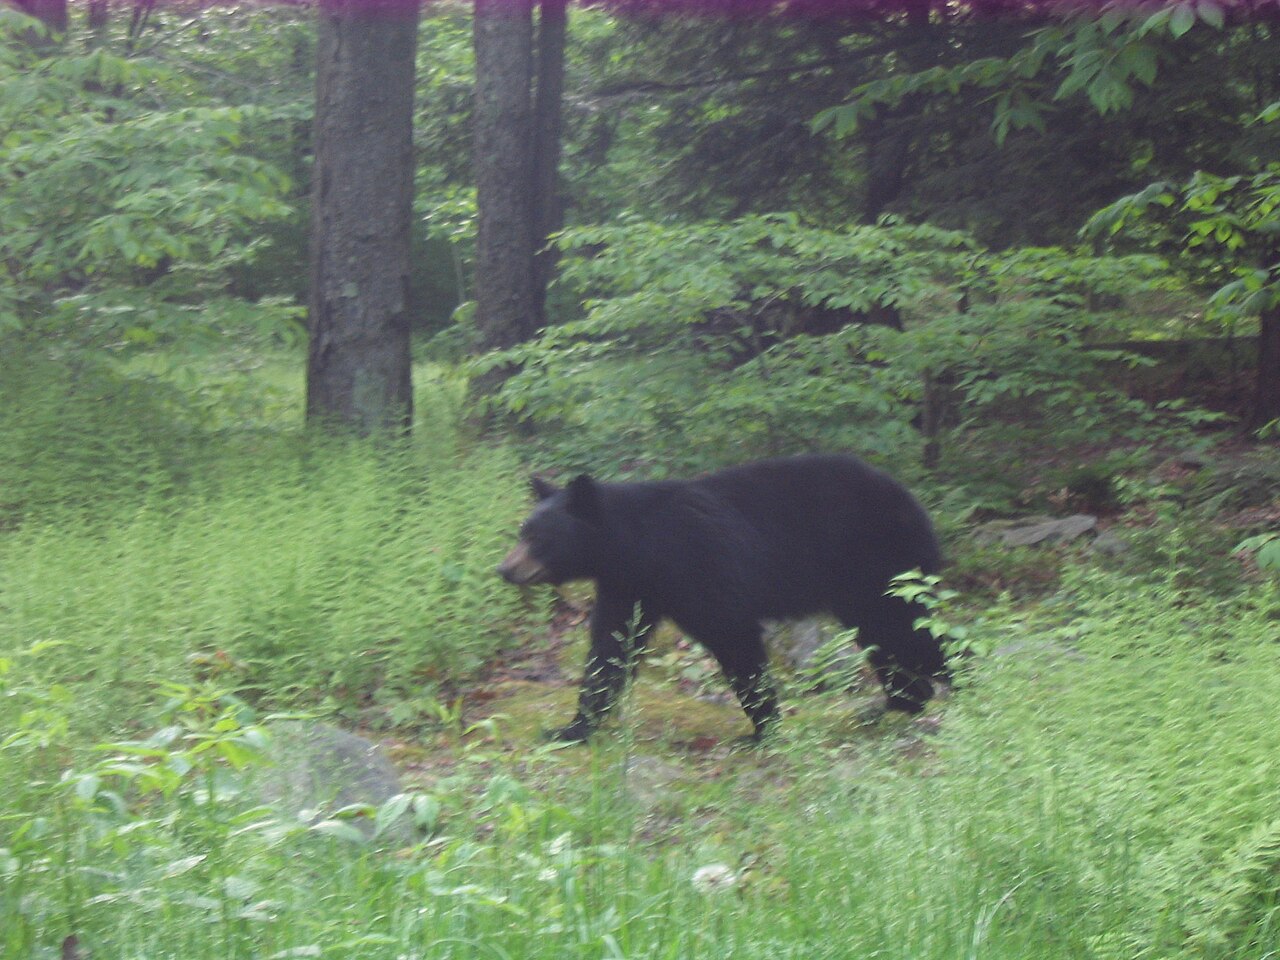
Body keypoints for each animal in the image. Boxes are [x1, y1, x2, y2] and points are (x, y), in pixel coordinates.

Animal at [497, 454, 946, 742]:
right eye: (523, 531)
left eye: (539, 538)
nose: (503, 569)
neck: (639, 546)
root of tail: (913, 500)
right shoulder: (630, 586)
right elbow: (610, 649)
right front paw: (570, 728)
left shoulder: (698, 564)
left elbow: (732, 634)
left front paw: (763, 730)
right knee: (888, 638)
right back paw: (894, 705)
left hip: (879, 565)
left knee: (906, 628)